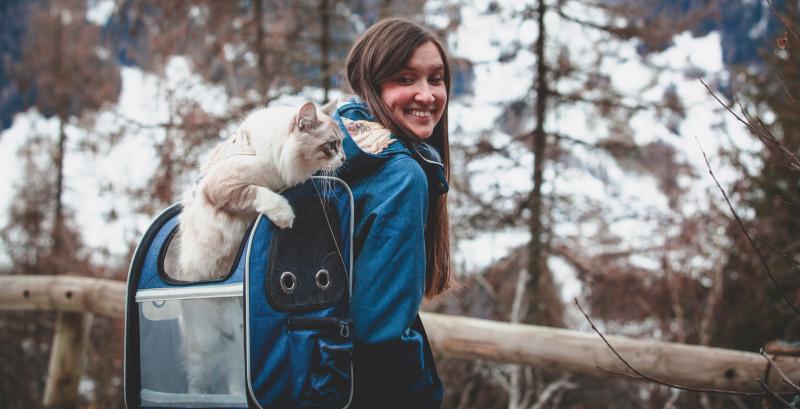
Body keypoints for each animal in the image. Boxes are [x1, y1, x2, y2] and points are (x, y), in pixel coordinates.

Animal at [171, 100, 344, 396]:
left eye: (342, 144)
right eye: (331, 145)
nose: (344, 159)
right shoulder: (226, 188)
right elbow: (260, 193)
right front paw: (284, 215)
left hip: (236, 339)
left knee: (234, 376)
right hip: (204, 343)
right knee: (198, 380)